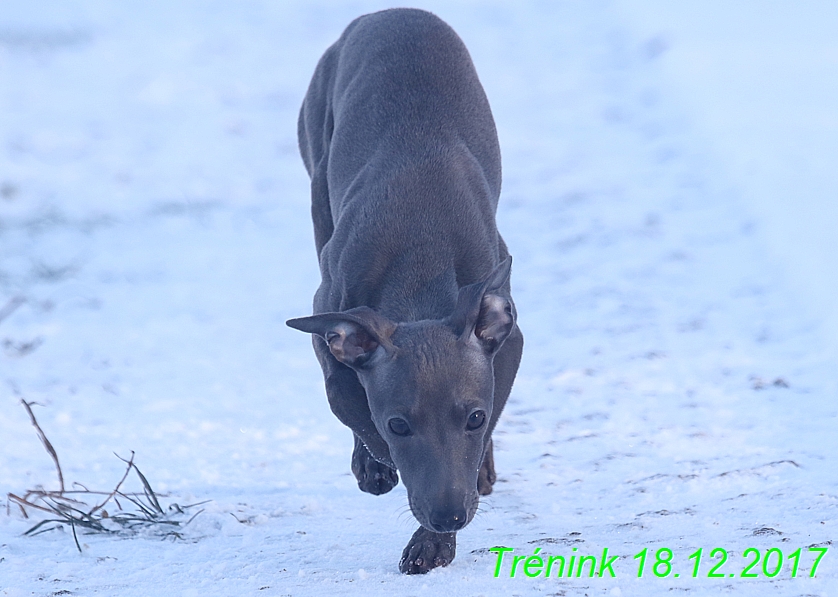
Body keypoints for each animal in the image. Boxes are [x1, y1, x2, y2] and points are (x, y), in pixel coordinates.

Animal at [290, 5, 524, 572]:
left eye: (473, 417)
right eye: (399, 425)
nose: (448, 517)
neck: (421, 261)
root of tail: (391, 11)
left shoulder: (508, 342)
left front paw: (433, 542)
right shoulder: (329, 314)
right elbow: (344, 397)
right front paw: (375, 467)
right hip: (317, 174)